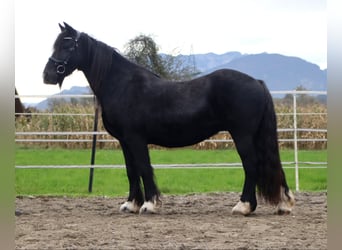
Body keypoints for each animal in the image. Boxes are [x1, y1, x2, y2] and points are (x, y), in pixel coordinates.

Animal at [42, 22, 294, 216]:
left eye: (67, 44)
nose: (47, 75)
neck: (122, 84)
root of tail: (257, 82)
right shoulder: (124, 141)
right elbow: (131, 170)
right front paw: (131, 204)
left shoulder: (136, 139)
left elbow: (144, 168)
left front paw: (149, 205)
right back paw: (283, 204)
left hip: (242, 135)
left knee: (251, 165)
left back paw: (243, 206)